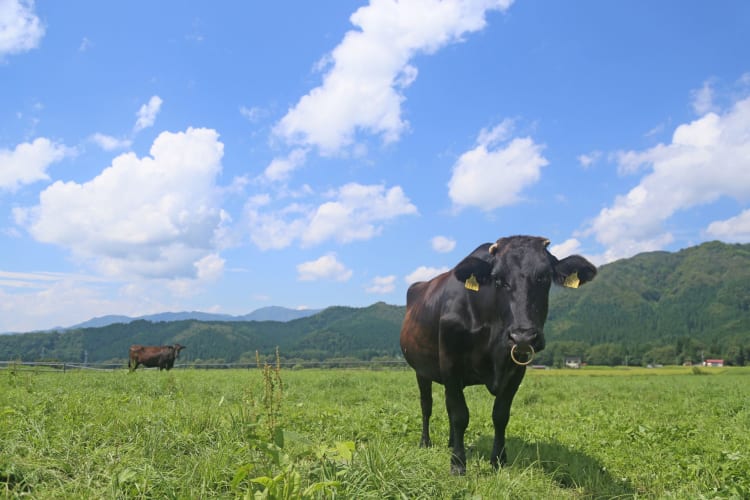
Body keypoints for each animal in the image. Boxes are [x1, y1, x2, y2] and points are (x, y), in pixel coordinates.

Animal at [400, 236, 600, 474]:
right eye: (497, 279)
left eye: (543, 277)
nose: (523, 336)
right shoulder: (450, 364)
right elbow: (459, 415)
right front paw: (458, 463)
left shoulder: (516, 369)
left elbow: (500, 415)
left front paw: (498, 460)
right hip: (421, 371)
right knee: (427, 405)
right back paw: (425, 442)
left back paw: (450, 442)